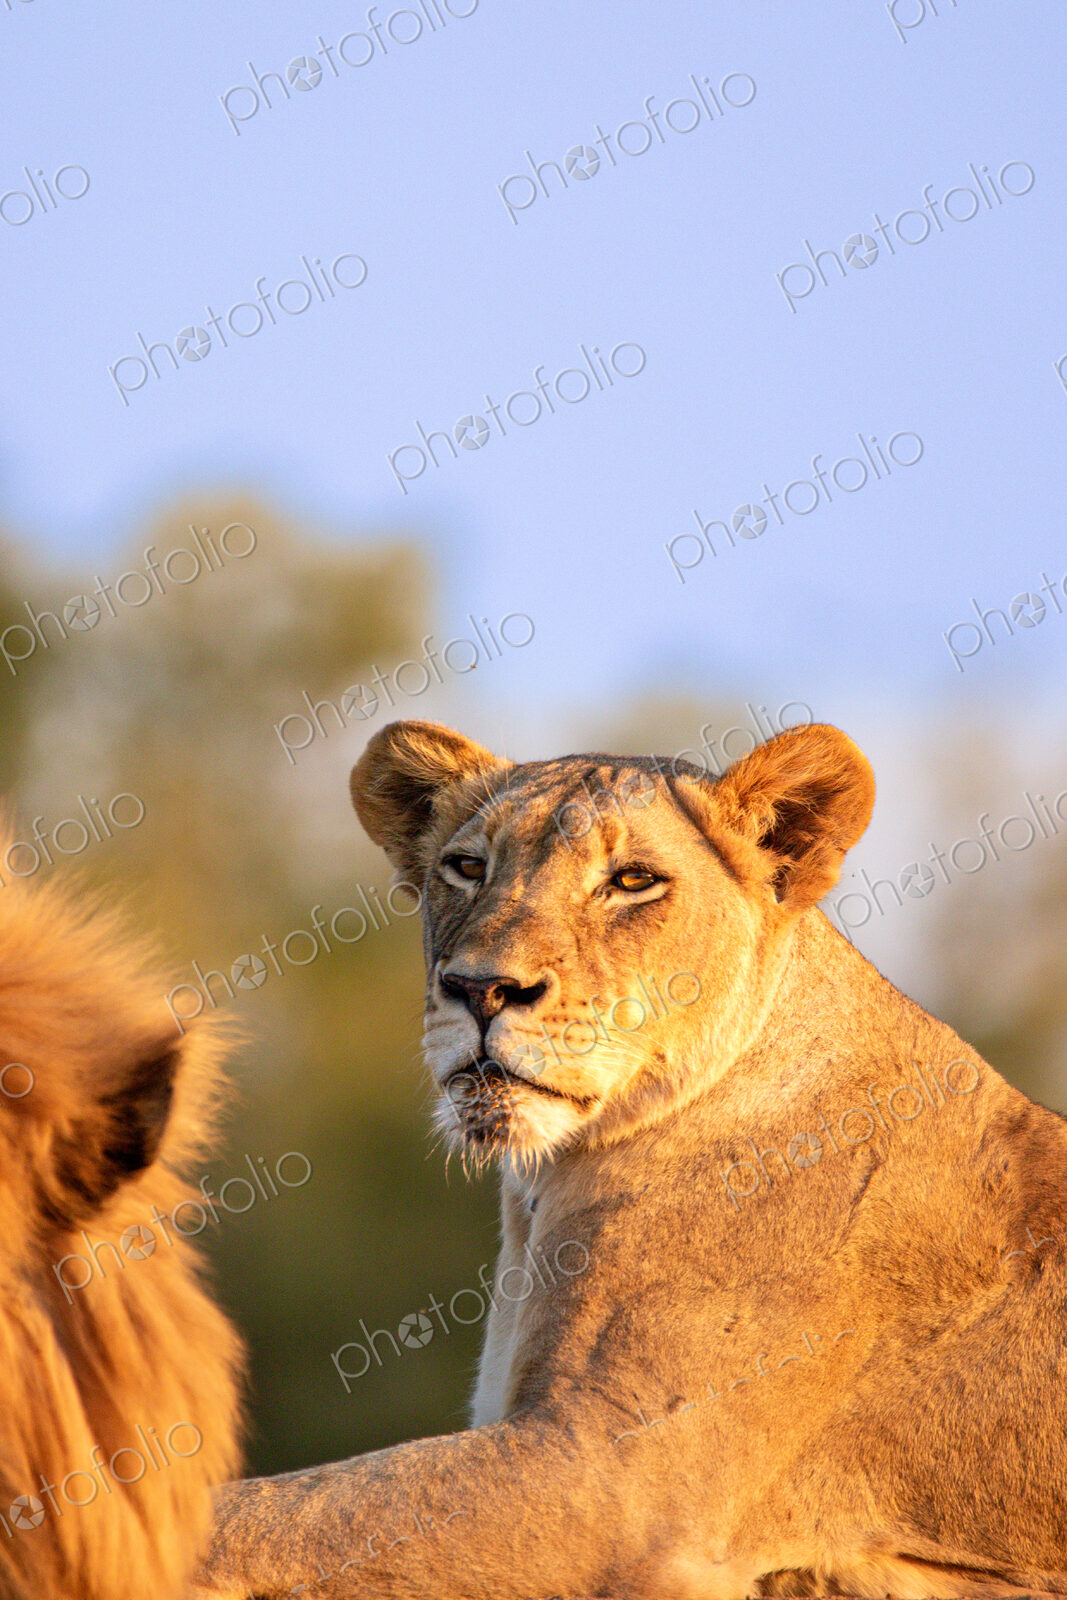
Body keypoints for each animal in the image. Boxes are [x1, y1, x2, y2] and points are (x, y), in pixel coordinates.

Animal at [194, 719, 1067, 1600]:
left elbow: (267, 1518)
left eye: (632, 881)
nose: (479, 989)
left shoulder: (609, 1480)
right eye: (467, 867)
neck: (551, 1179)